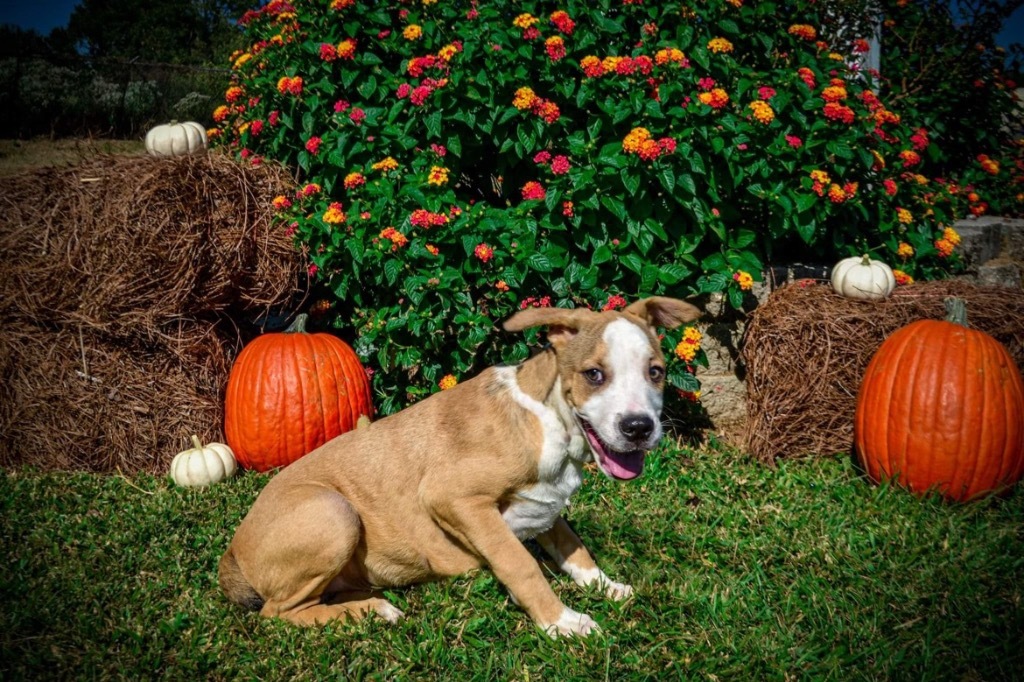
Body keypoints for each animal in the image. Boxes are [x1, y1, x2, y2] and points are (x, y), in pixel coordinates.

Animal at [219, 294, 700, 634]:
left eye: (656, 372)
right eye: (594, 375)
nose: (639, 427)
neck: (550, 421)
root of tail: (232, 552)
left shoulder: (548, 507)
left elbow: (575, 549)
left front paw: (607, 587)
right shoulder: (455, 498)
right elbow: (520, 565)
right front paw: (561, 622)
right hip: (334, 511)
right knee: (277, 612)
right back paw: (372, 612)